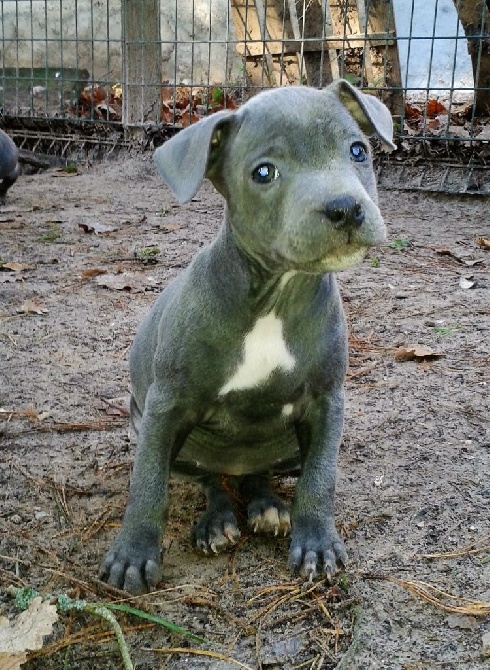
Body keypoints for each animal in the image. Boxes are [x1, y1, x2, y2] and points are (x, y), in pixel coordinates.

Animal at [99, 79, 394, 592]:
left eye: (358, 150)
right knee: (206, 481)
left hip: (285, 450)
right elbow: (147, 484)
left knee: (260, 475)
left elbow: (320, 478)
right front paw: (133, 553)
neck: (275, 295)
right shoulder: (167, 407)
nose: (346, 208)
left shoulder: (327, 401)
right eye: (264, 172)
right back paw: (217, 522)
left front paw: (316, 543)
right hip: (151, 428)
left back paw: (267, 507)